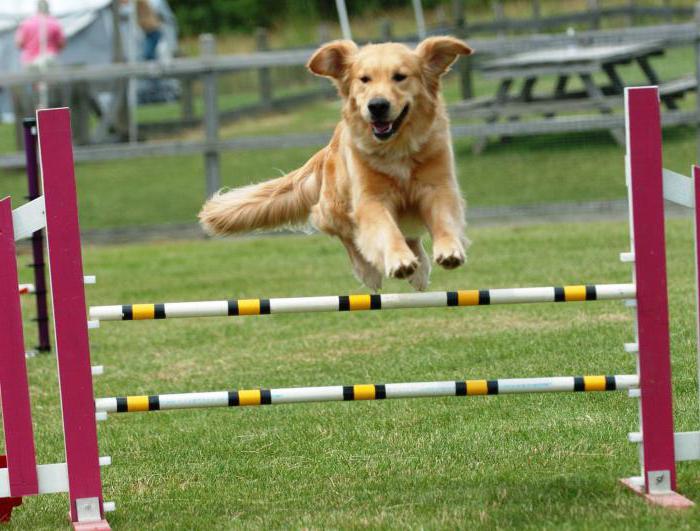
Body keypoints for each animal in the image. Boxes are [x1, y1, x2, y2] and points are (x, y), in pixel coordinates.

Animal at [200, 36, 474, 290]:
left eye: (400, 77)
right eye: (364, 79)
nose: (377, 106)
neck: (398, 148)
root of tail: (326, 150)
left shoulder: (438, 187)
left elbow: (444, 220)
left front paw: (449, 250)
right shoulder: (371, 200)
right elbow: (386, 230)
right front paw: (398, 260)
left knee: (409, 236)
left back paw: (420, 270)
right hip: (334, 207)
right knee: (349, 236)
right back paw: (371, 271)